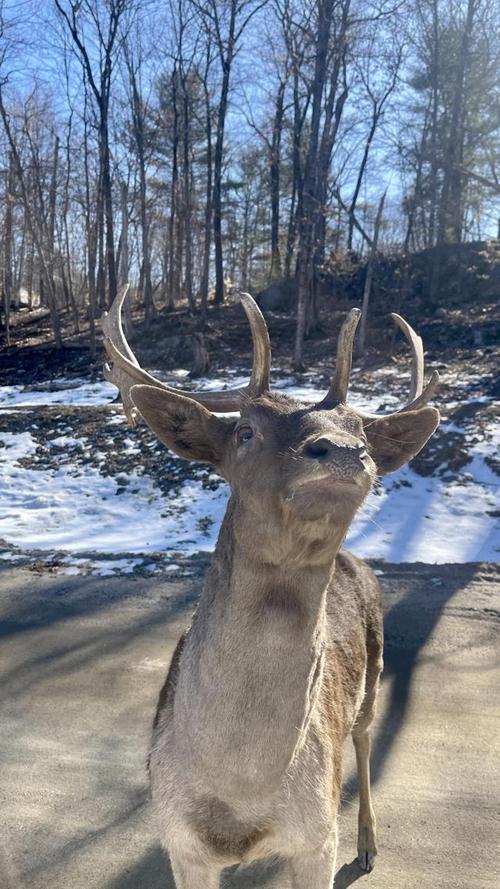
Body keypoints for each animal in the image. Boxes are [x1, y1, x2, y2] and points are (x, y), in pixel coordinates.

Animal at [102, 288, 442, 884]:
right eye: (245, 430)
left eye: (360, 431)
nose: (346, 451)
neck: (242, 797)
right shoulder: (180, 842)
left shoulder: (316, 839)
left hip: (374, 675)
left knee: (364, 739)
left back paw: (370, 843)